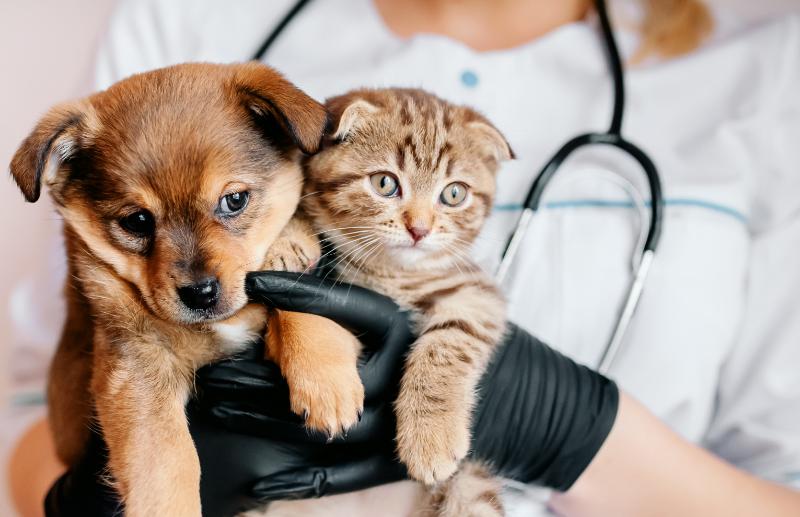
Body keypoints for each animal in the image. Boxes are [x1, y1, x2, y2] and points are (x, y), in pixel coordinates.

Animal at [7, 62, 364, 512]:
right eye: (137, 221)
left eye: (235, 200)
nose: (200, 294)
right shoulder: (138, 365)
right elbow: (166, 463)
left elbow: (300, 294)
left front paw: (326, 382)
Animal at [300, 89, 512, 516]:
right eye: (385, 183)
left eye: (454, 194)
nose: (420, 229)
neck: (392, 275)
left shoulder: (476, 292)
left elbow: (452, 339)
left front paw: (431, 436)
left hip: (471, 487)